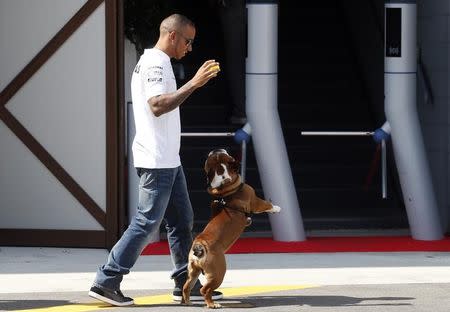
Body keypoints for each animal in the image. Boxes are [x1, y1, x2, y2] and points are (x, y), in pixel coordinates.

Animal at [180, 149, 280, 308]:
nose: (215, 149)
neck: (223, 186)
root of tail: (199, 245)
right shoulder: (255, 201)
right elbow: (266, 205)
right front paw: (276, 208)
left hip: (193, 271)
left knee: (186, 286)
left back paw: (188, 301)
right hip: (218, 272)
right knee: (205, 290)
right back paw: (212, 304)